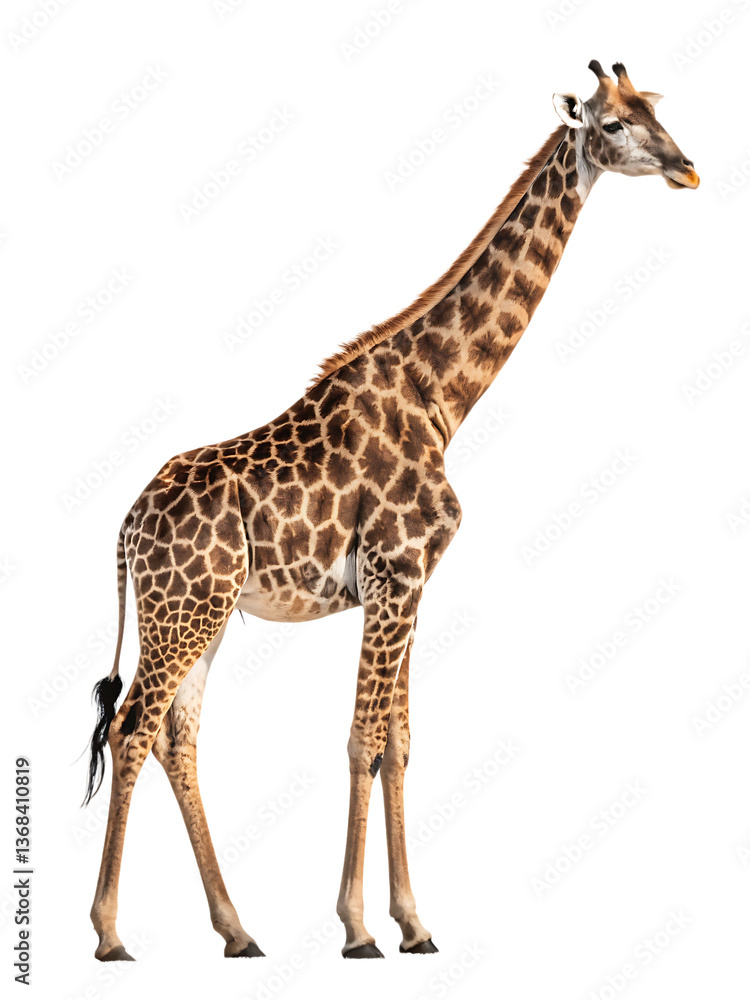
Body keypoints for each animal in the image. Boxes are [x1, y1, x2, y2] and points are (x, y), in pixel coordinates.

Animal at [85, 61, 698, 961]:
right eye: (613, 124)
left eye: (657, 109)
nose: (688, 168)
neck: (442, 395)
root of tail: (126, 526)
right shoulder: (395, 571)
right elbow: (362, 740)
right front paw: (357, 928)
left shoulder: (407, 585)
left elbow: (399, 745)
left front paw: (414, 923)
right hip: (184, 611)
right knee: (133, 728)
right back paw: (110, 934)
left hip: (201, 612)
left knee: (174, 735)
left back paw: (238, 931)